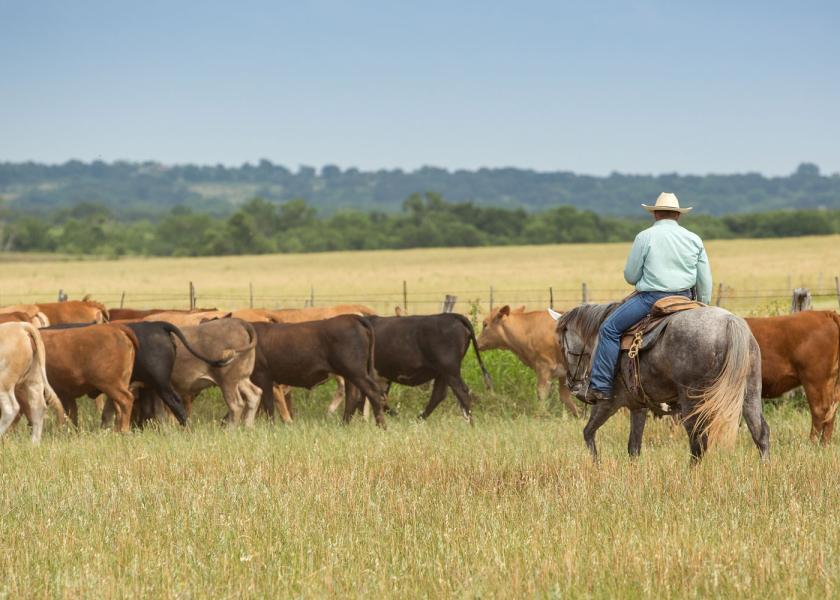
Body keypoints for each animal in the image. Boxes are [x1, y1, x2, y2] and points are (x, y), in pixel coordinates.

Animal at [249, 314, 388, 426]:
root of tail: (352, 317)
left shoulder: (264, 376)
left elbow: (268, 405)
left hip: (355, 371)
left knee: (373, 392)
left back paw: (381, 426)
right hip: (351, 374)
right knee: (353, 396)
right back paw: (344, 425)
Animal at [556, 302, 772, 462]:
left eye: (560, 343)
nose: (572, 383)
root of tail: (729, 322)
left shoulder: (608, 402)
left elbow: (588, 432)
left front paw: (596, 464)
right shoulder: (638, 406)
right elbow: (633, 446)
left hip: (692, 401)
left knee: (698, 442)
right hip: (750, 393)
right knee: (759, 433)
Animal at [748, 312, 840, 442]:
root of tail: (825, 313)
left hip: (814, 380)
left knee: (819, 410)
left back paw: (812, 443)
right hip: (830, 382)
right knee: (831, 411)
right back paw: (824, 443)